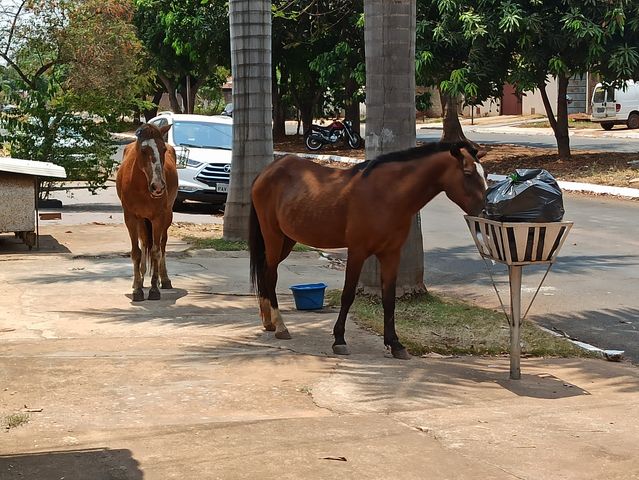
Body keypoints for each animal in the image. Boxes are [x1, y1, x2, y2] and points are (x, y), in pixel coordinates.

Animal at [116, 124, 178, 304]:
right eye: (143, 150)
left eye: (163, 149)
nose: (158, 186)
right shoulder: (130, 217)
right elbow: (136, 252)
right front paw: (137, 289)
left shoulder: (158, 217)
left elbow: (156, 251)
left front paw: (154, 289)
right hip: (142, 220)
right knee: (144, 242)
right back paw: (141, 279)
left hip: (166, 217)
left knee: (162, 245)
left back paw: (164, 279)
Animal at [249, 141, 484, 358]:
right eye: (468, 173)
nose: (484, 212)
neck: (387, 194)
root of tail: (268, 170)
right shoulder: (357, 252)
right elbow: (347, 295)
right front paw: (339, 340)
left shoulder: (391, 255)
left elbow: (389, 299)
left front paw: (395, 344)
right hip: (273, 236)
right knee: (270, 275)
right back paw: (281, 326)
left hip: (287, 239)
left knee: (265, 271)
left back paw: (268, 321)